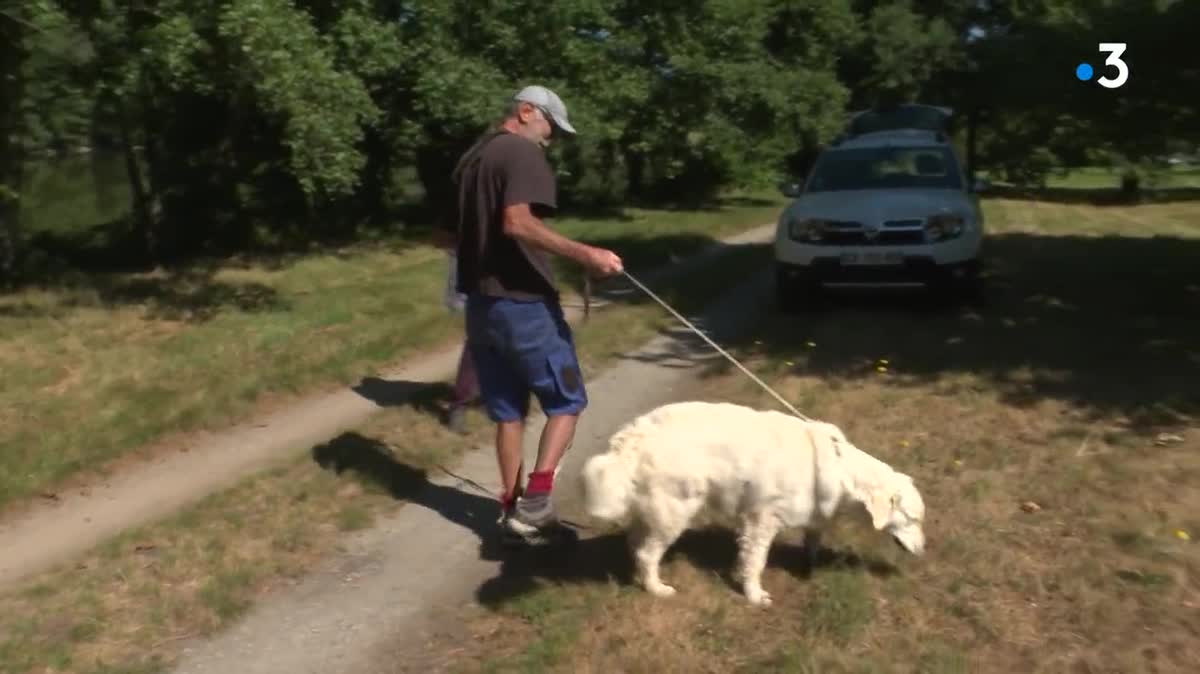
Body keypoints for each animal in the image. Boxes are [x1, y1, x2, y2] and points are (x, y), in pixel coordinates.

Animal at [580, 398, 926, 604]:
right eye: (913, 519)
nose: (924, 550)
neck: (840, 468)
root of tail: (635, 436)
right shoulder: (761, 521)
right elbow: (755, 562)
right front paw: (754, 594)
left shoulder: (812, 515)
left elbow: (812, 540)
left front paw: (809, 565)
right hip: (675, 512)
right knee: (647, 553)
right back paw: (656, 588)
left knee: (635, 543)